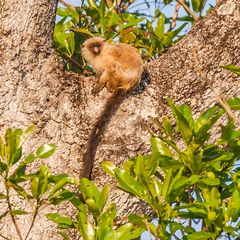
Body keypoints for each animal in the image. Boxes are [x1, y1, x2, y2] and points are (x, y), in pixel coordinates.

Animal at [80, 36, 144, 179]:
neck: (99, 55)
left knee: (112, 68)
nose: (96, 50)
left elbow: (109, 67)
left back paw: (109, 87)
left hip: (118, 77)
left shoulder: (105, 58)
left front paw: (99, 84)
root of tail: (128, 85)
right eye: (93, 46)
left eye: (98, 45)